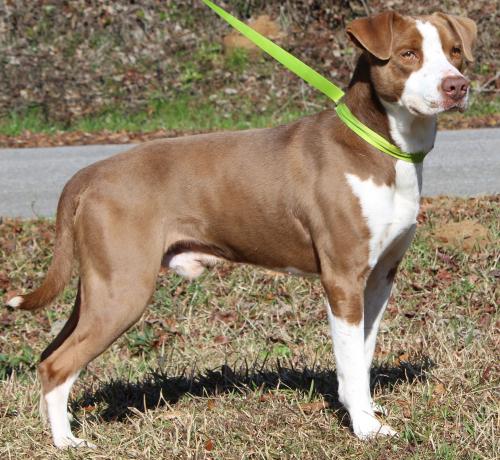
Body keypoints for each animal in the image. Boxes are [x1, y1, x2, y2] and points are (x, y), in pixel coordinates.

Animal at [7, 11, 476, 448]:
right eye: (408, 54)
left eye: (454, 51)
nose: (457, 86)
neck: (377, 145)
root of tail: (88, 175)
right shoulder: (342, 279)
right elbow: (349, 363)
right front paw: (366, 429)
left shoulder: (379, 279)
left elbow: (361, 356)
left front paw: (367, 412)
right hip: (123, 289)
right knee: (58, 364)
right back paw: (66, 442)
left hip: (98, 287)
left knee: (49, 356)